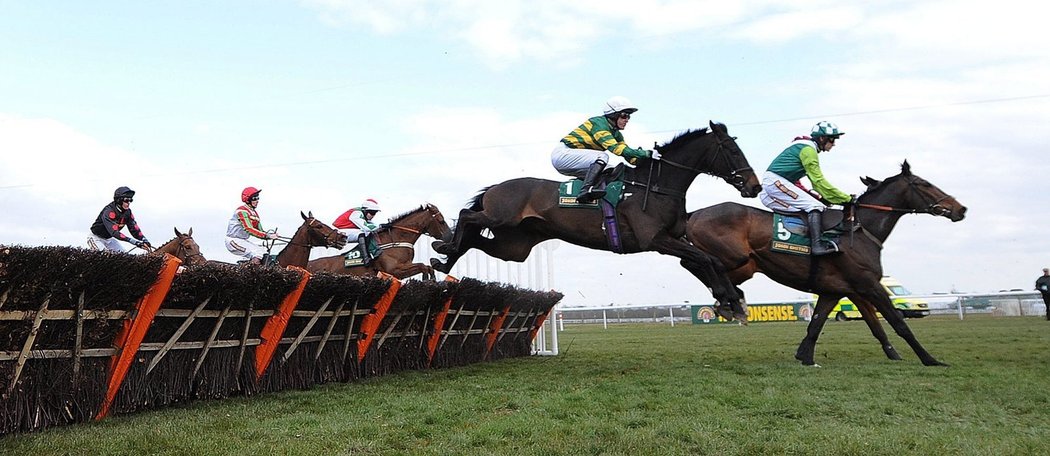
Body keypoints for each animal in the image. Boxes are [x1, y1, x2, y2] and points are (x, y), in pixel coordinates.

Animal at [304, 203, 451, 281]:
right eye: (441, 221)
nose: (450, 236)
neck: (396, 240)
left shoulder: (404, 267)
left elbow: (428, 267)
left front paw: (431, 279)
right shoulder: (394, 270)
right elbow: (422, 266)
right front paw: (426, 278)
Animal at [430, 122, 760, 319]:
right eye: (732, 150)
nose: (754, 186)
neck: (654, 185)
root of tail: (497, 186)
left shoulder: (675, 238)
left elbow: (710, 260)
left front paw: (732, 300)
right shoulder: (655, 240)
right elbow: (703, 259)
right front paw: (727, 299)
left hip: (515, 246)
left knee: (475, 238)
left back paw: (443, 261)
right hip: (502, 216)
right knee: (467, 216)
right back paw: (443, 248)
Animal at [688, 161, 965, 365]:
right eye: (925, 183)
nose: (960, 209)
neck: (859, 230)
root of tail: (694, 213)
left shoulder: (838, 290)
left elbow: (823, 324)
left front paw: (806, 356)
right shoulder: (869, 285)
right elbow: (898, 322)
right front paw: (930, 359)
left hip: (744, 266)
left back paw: (730, 300)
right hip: (736, 258)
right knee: (698, 263)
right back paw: (729, 301)